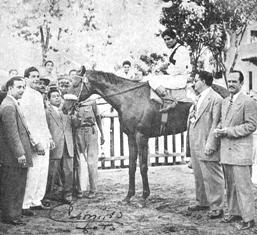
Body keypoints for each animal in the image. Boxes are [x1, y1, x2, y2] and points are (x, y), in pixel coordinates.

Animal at [62, 67, 228, 203]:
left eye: (75, 84)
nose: (64, 108)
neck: (130, 98)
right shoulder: (131, 138)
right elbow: (131, 167)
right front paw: (128, 196)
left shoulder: (141, 137)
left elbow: (142, 166)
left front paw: (144, 196)